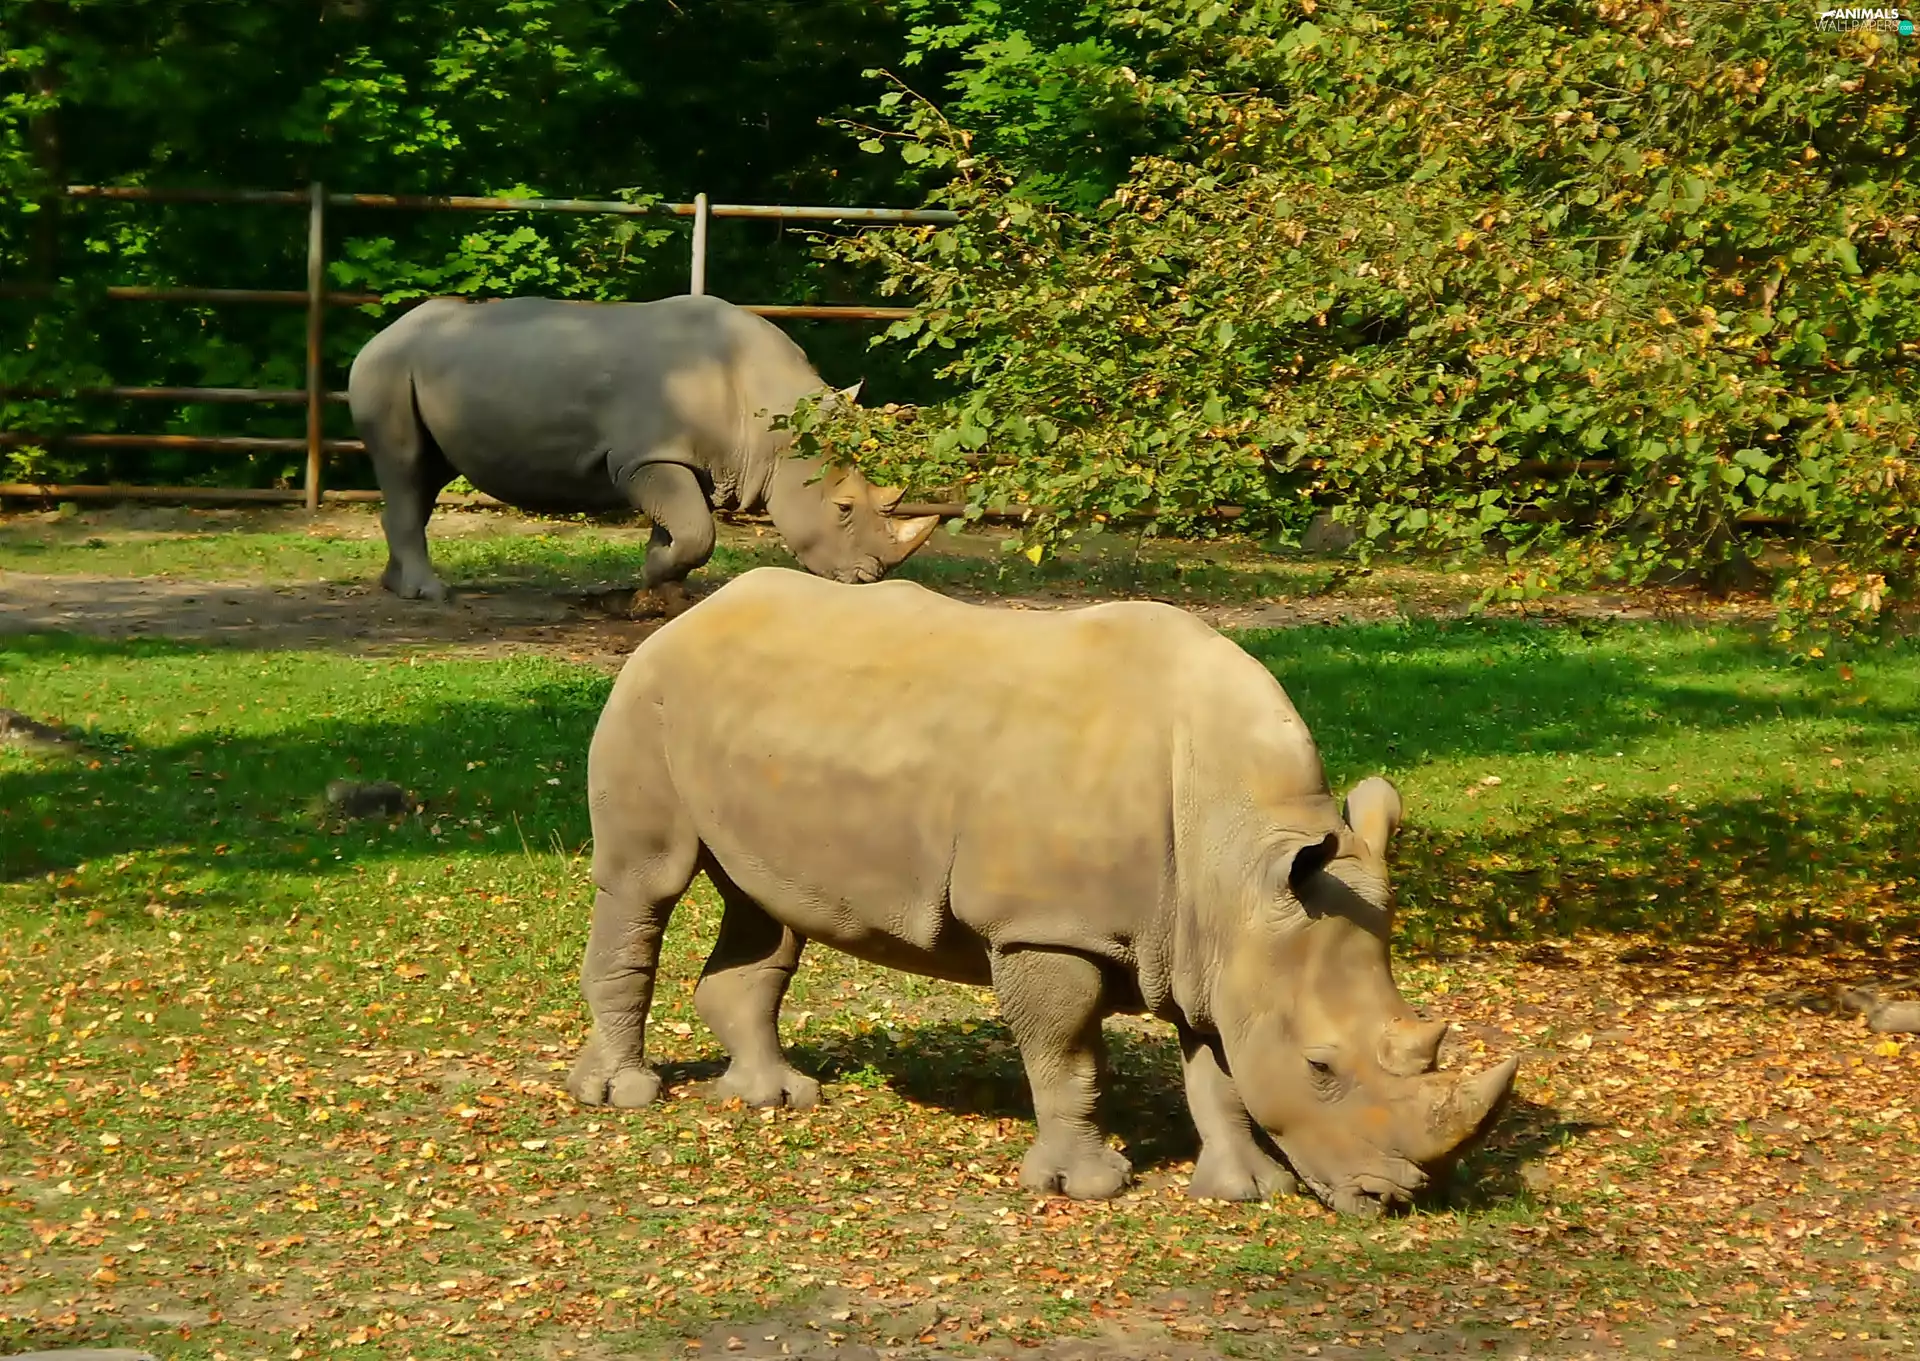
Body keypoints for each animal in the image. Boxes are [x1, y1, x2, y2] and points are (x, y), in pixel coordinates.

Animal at [346, 294, 940, 608]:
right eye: (842, 509)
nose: (869, 580)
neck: (776, 429)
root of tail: (381, 332)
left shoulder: (682, 460)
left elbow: (682, 528)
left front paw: (663, 593)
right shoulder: (644, 458)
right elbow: (697, 532)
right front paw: (656, 579)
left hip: (415, 368)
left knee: (423, 477)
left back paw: (396, 587)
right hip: (387, 366)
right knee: (404, 465)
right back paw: (430, 594)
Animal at [567, 568, 1518, 1214]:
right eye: (1322, 1067)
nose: (1392, 1198)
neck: (1243, 846)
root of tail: (688, 615)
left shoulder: (1218, 944)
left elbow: (1216, 1066)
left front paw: (1245, 1190)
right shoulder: (1046, 925)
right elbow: (1066, 1054)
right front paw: (1086, 1187)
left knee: (764, 909)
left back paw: (774, 1097)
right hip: (647, 695)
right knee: (647, 883)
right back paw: (623, 1096)